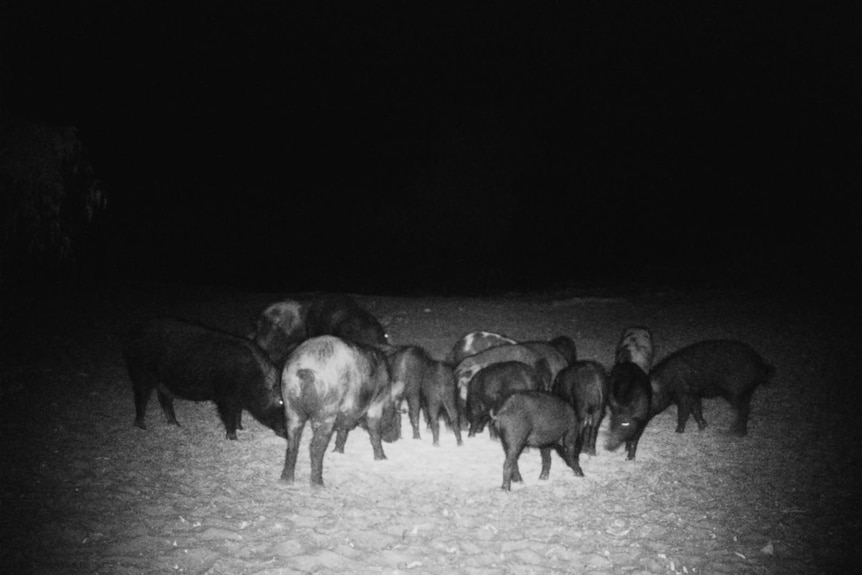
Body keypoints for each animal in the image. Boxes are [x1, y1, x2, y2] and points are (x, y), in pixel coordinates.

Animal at [124, 320, 286, 440]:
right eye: (281, 403)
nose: (287, 434)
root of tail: (134, 333)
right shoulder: (224, 398)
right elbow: (229, 416)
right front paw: (233, 438)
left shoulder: (236, 399)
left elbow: (238, 414)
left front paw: (241, 428)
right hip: (141, 373)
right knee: (141, 398)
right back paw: (142, 427)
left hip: (164, 383)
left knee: (164, 399)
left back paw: (176, 425)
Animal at [282, 336, 406, 488]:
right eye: (396, 414)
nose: (396, 438)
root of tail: (305, 369)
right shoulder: (376, 404)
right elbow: (374, 432)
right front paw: (382, 458)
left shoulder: (345, 411)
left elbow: (343, 431)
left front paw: (338, 451)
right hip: (326, 410)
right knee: (316, 447)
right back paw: (318, 485)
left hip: (290, 404)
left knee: (292, 443)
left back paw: (286, 480)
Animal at [652, 338, 780, 436]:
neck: (666, 383)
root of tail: (761, 366)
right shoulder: (694, 394)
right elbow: (697, 410)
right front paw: (703, 427)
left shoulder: (684, 394)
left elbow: (684, 412)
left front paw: (678, 432)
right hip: (747, 391)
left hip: (738, 391)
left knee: (745, 409)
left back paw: (739, 433)